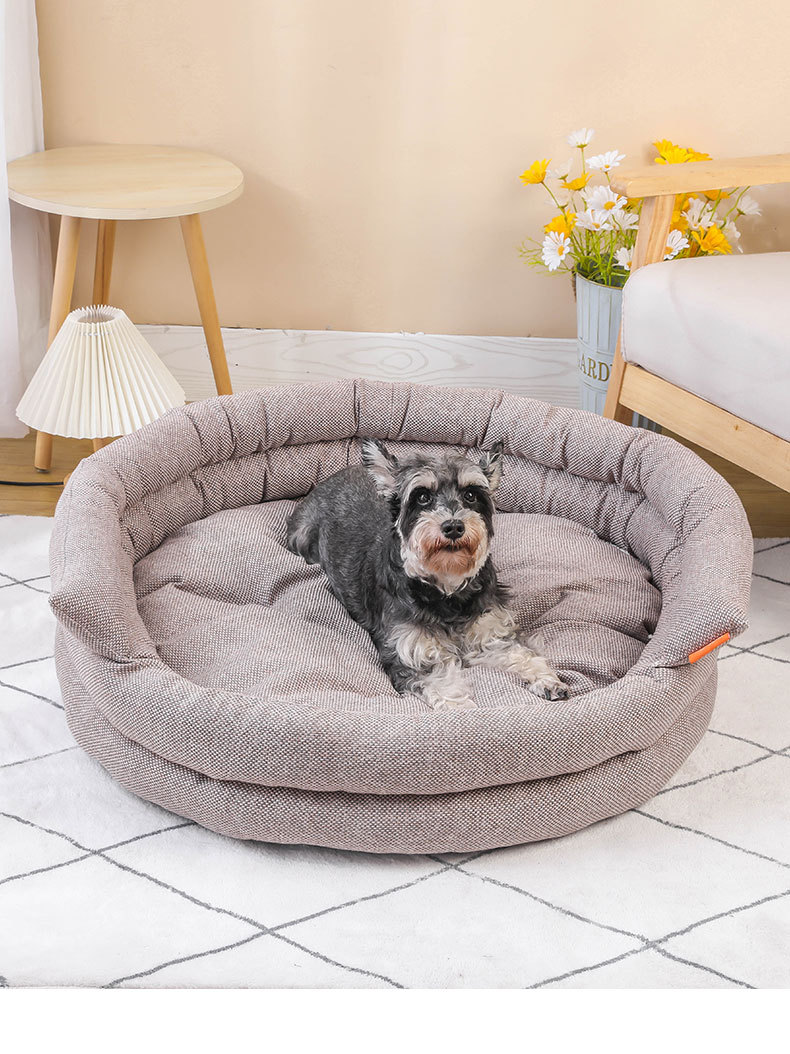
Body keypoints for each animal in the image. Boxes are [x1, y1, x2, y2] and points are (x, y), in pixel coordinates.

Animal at [285, 439, 569, 710]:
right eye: (422, 497)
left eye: (471, 494)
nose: (453, 526)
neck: (447, 590)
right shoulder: (412, 656)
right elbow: (445, 686)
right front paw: (463, 711)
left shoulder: (492, 636)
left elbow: (520, 654)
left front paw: (548, 680)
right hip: (301, 538)